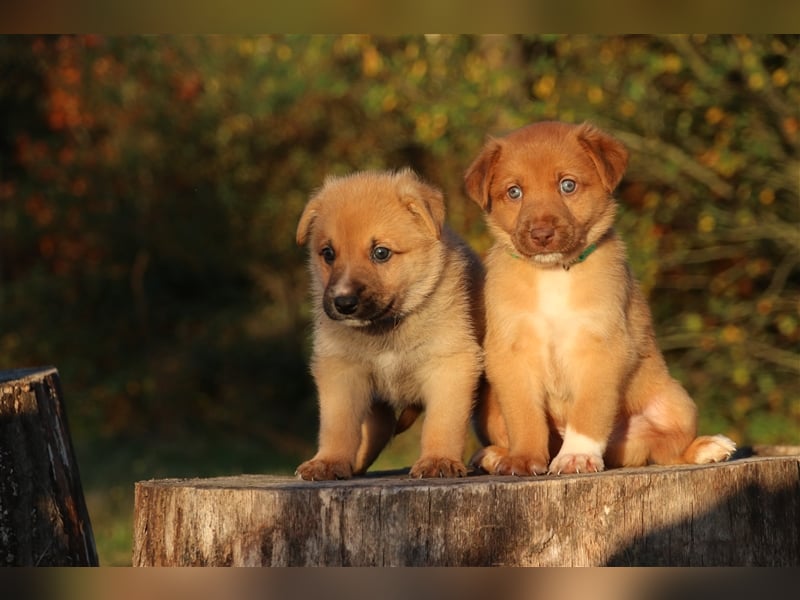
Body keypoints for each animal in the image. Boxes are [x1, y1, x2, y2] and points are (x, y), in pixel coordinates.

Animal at [294, 171, 482, 480]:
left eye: (381, 253)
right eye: (328, 253)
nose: (343, 303)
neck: (387, 329)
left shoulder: (450, 363)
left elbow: (443, 422)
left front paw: (438, 460)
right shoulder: (341, 370)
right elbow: (338, 425)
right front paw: (329, 462)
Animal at [466, 122, 736, 476]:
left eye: (567, 185)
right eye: (514, 192)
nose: (541, 235)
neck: (554, 273)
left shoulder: (601, 347)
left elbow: (588, 411)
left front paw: (576, 456)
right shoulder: (511, 354)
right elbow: (525, 417)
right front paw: (523, 458)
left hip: (676, 403)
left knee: (666, 449)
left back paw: (708, 447)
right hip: (488, 407)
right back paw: (494, 455)